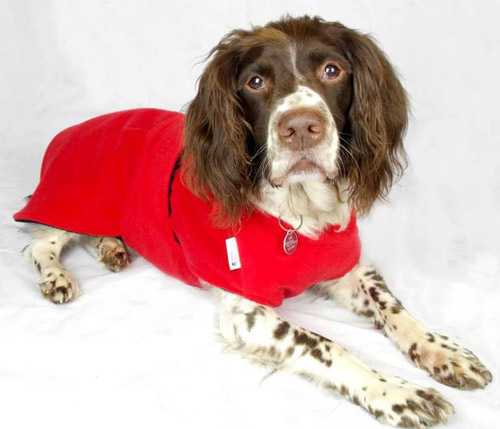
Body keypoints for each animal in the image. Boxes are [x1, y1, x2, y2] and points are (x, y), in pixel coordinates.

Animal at [13, 15, 490, 426]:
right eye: (255, 82)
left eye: (332, 70)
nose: (301, 128)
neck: (298, 214)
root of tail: (70, 129)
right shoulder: (248, 312)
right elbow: (327, 345)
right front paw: (396, 392)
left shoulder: (348, 271)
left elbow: (394, 308)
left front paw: (444, 351)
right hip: (74, 199)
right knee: (40, 242)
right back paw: (58, 276)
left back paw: (112, 247)